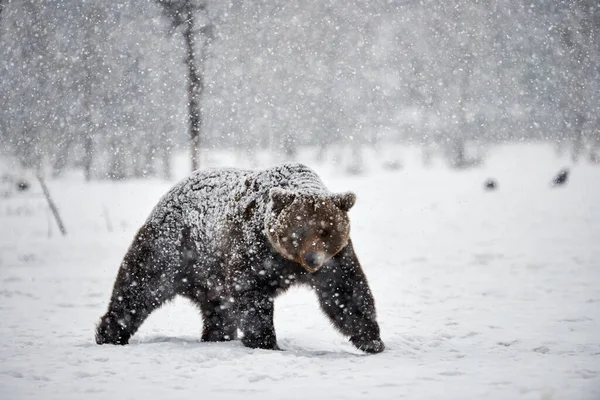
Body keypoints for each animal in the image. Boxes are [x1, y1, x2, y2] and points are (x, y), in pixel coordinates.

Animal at [95, 162, 384, 354]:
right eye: (297, 231)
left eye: (325, 230)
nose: (312, 259)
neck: (289, 261)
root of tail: (171, 191)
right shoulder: (253, 248)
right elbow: (251, 293)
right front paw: (265, 341)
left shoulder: (336, 258)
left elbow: (345, 293)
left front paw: (372, 339)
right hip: (175, 247)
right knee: (140, 286)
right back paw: (109, 334)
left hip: (210, 274)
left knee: (218, 311)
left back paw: (217, 336)